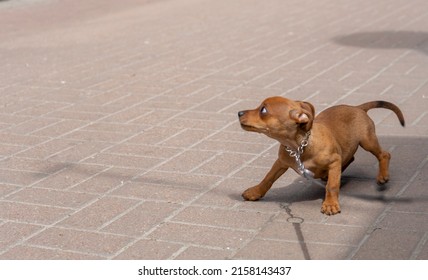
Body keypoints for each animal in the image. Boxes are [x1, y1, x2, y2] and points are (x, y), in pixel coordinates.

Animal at [237, 97, 404, 215]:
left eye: (263, 110)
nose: (239, 113)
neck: (298, 147)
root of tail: (358, 108)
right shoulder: (281, 162)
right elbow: (268, 178)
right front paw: (255, 192)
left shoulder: (334, 161)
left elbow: (332, 185)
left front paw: (330, 204)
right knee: (350, 158)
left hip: (367, 141)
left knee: (384, 154)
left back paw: (382, 176)